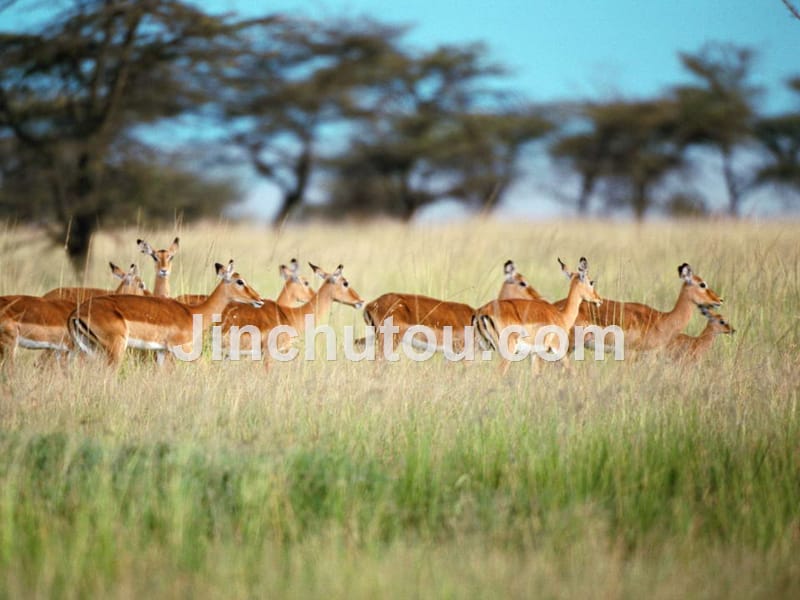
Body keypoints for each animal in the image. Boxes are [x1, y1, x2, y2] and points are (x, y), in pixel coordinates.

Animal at [69, 262, 262, 368]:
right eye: (240, 281)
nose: (259, 299)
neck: (192, 313)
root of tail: (77, 312)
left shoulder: (161, 351)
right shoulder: (182, 349)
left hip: (89, 350)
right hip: (115, 349)